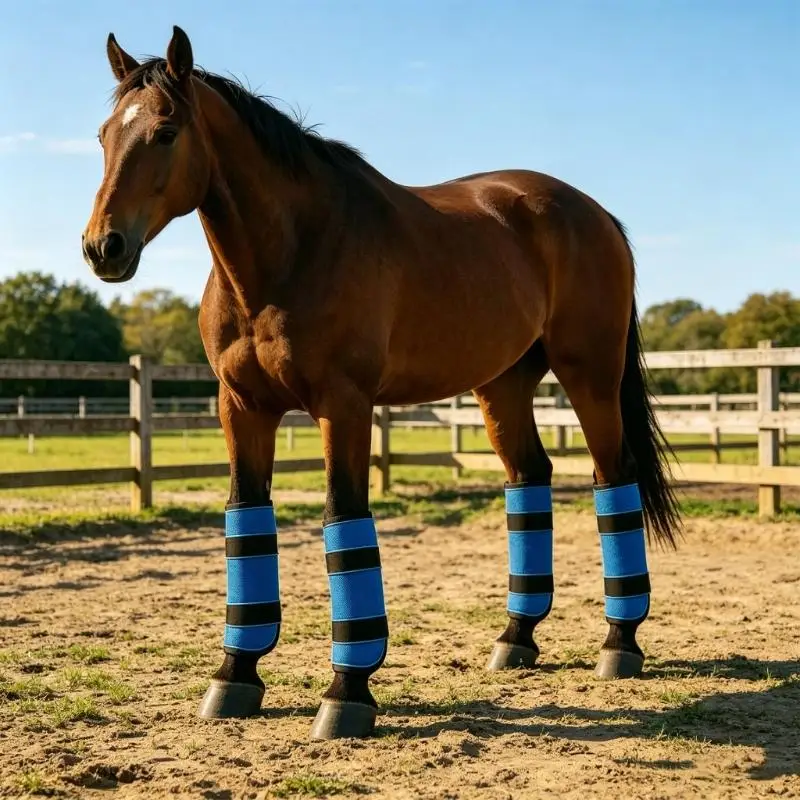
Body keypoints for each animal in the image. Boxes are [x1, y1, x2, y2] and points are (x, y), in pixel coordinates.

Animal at [82, 25, 681, 741]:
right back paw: (516, 636)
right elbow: (246, 520)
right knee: (528, 478)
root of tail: (594, 213)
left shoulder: (344, 406)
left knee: (613, 479)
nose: (103, 247)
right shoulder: (242, 407)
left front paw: (347, 692)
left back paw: (620, 642)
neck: (292, 252)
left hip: (590, 375)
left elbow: (345, 522)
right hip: (503, 386)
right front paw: (235, 675)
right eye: (102, 135)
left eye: (166, 131)